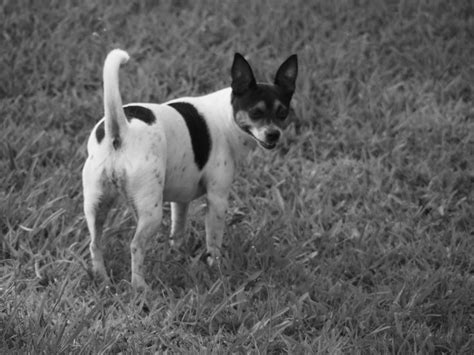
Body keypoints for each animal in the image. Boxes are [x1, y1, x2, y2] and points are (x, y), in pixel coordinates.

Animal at [81, 49, 296, 290]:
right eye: (255, 113)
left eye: (283, 113)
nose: (274, 134)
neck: (226, 115)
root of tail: (120, 131)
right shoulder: (217, 199)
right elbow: (214, 240)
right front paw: (216, 269)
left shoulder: (180, 198)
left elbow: (178, 229)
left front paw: (177, 256)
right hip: (150, 211)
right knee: (135, 246)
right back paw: (140, 286)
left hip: (96, 205)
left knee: (95, 243)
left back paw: (102, 280)